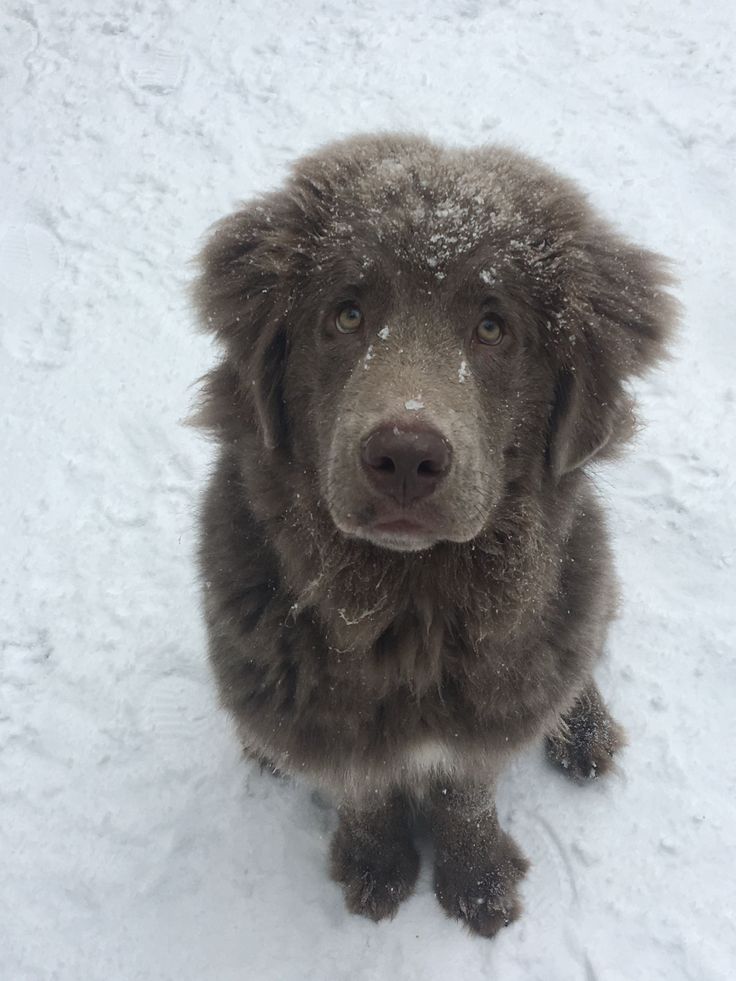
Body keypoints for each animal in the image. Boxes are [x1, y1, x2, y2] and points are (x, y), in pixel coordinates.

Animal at [191, 134, 680, 936]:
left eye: (492, 327)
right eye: (346, 314)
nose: (405, 456)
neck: (408, 612)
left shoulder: (485, 717)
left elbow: (464, 789)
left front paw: (479, 885)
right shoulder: (325, 719)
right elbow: (363, 785)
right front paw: (375, 867)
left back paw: (585, 731)